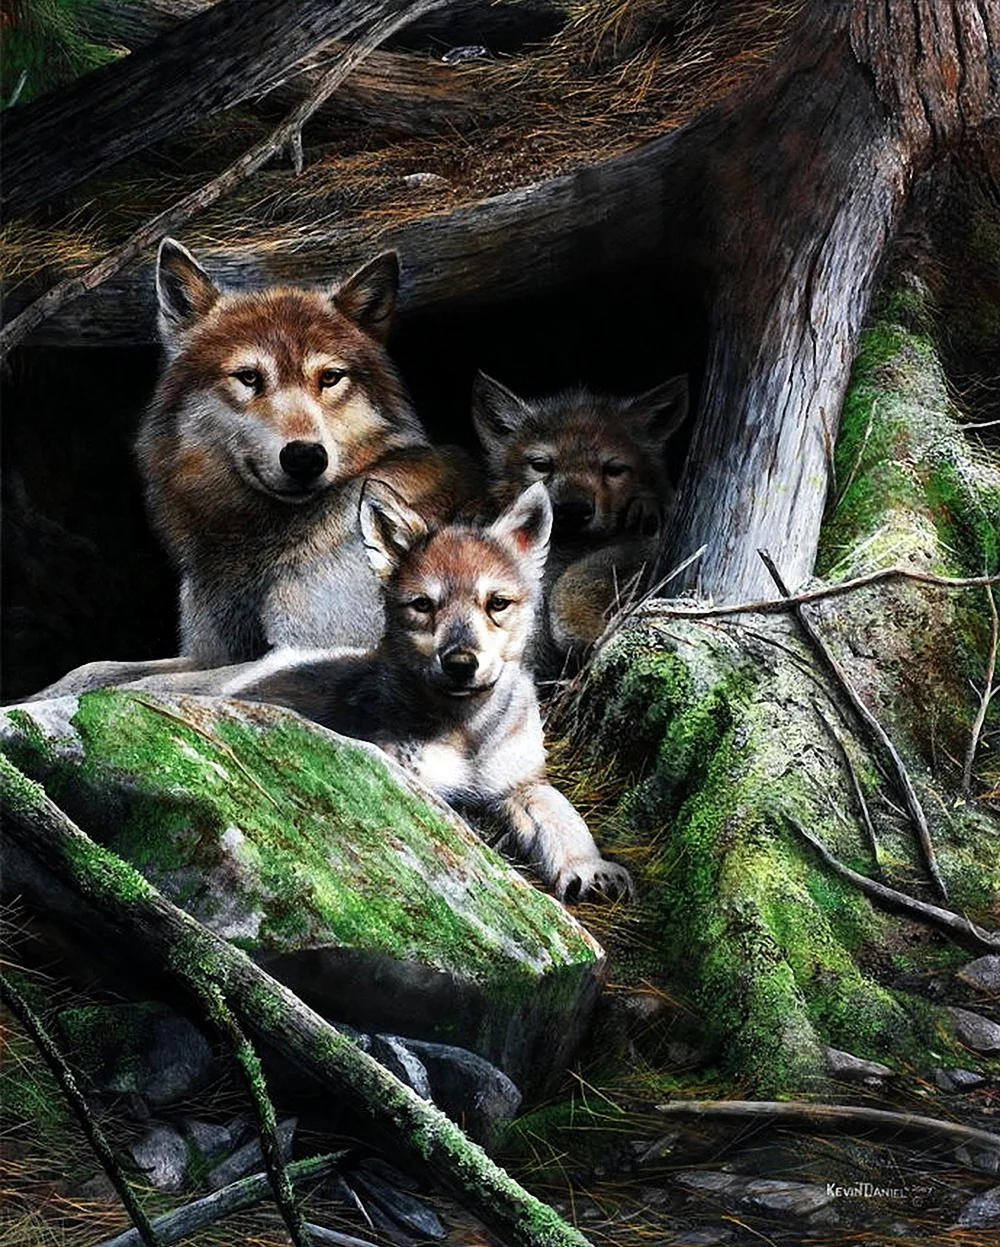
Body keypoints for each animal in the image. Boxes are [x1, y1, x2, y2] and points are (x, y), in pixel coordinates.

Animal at [35, 239, 476, 699]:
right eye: (248, 377)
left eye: (330, 377)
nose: (305, 457)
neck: (260, 538)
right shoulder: (210, 652)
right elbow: (93, 670)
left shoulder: (307, 649)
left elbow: (151, 686)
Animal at [116, 481, 633, 903]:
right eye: (423, 605)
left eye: (497, 603)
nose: (460, 663)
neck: (466, 731)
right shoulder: (408, 778)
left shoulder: (522, 784)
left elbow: (563, 815)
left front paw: (589, 869)